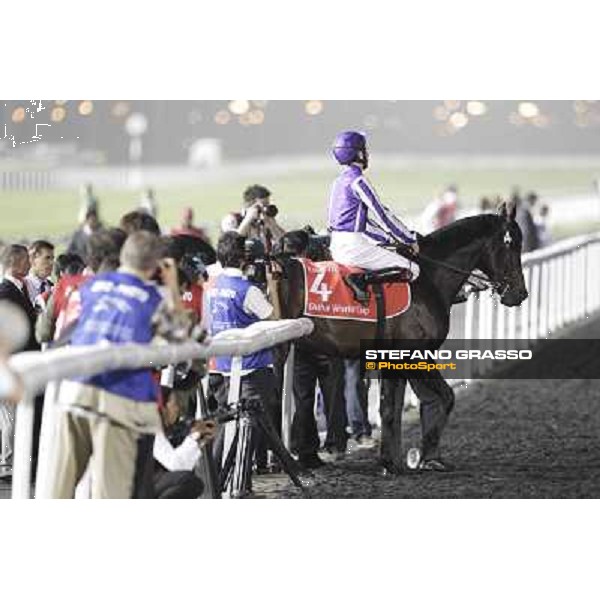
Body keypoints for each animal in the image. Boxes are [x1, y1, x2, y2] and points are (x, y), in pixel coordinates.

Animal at [276, 205, 524, 474]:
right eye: (511, 244)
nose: (520, 293)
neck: (428, 279)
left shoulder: (396, 359)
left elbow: (394, 408)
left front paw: (396, 460)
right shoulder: (413, 355)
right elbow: (444, 397)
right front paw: (422, 457)